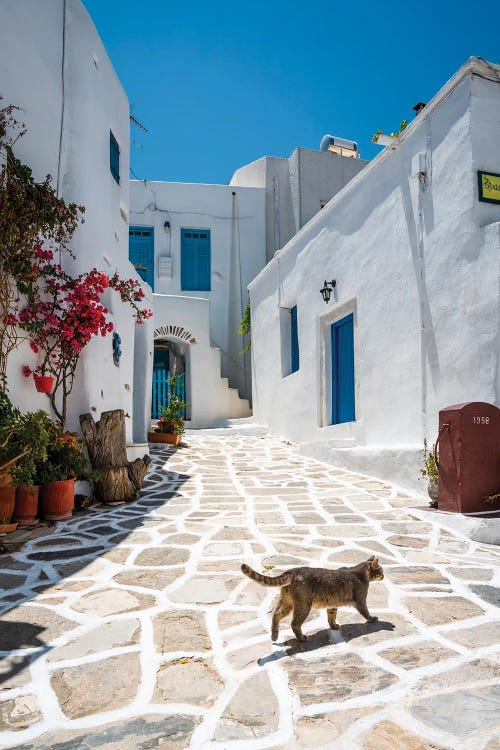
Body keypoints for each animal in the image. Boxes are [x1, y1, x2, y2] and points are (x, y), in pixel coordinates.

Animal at [240, 556, 384, 644]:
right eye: (381, 571)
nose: (383, 576)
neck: (360, 572)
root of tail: (293, 570)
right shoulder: (360, 600)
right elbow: (366, 612)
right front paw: (372, 619)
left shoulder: (333, 604)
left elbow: (331, 617)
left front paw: (334, 626)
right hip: (303, 606)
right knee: (294, 624)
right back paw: (302, 638)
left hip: (287, 603)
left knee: (276, 614)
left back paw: (274, 636)